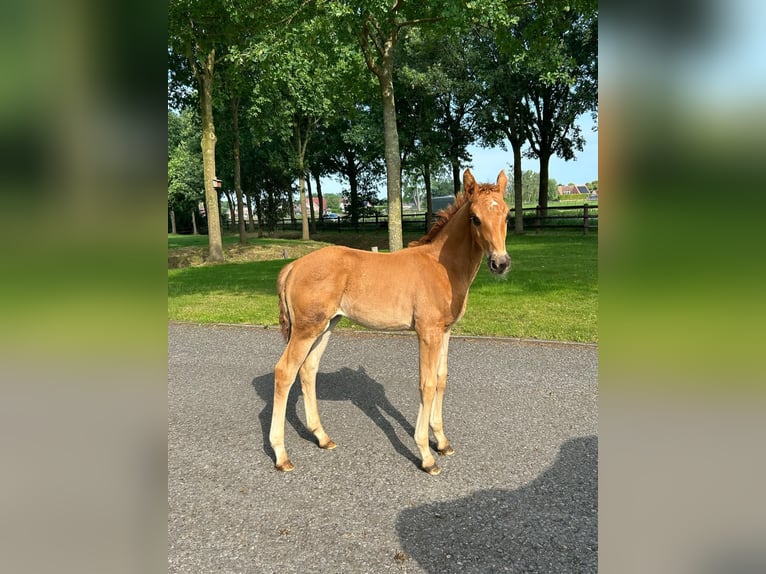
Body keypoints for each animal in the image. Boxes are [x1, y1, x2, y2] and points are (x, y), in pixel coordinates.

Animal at [268, 169, 510, 474]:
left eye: (506, 215)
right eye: (475, 218)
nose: (500, 263)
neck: (441, 266)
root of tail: (293, 266)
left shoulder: (445, 331)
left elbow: (441, 379)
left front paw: (442, 442)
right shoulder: (427, 332)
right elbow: (426, 384)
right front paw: (426, 455)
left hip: (325, 327)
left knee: (308, 370)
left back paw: (322, 437)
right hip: (305, 330)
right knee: (284, 372)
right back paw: (281, 455)